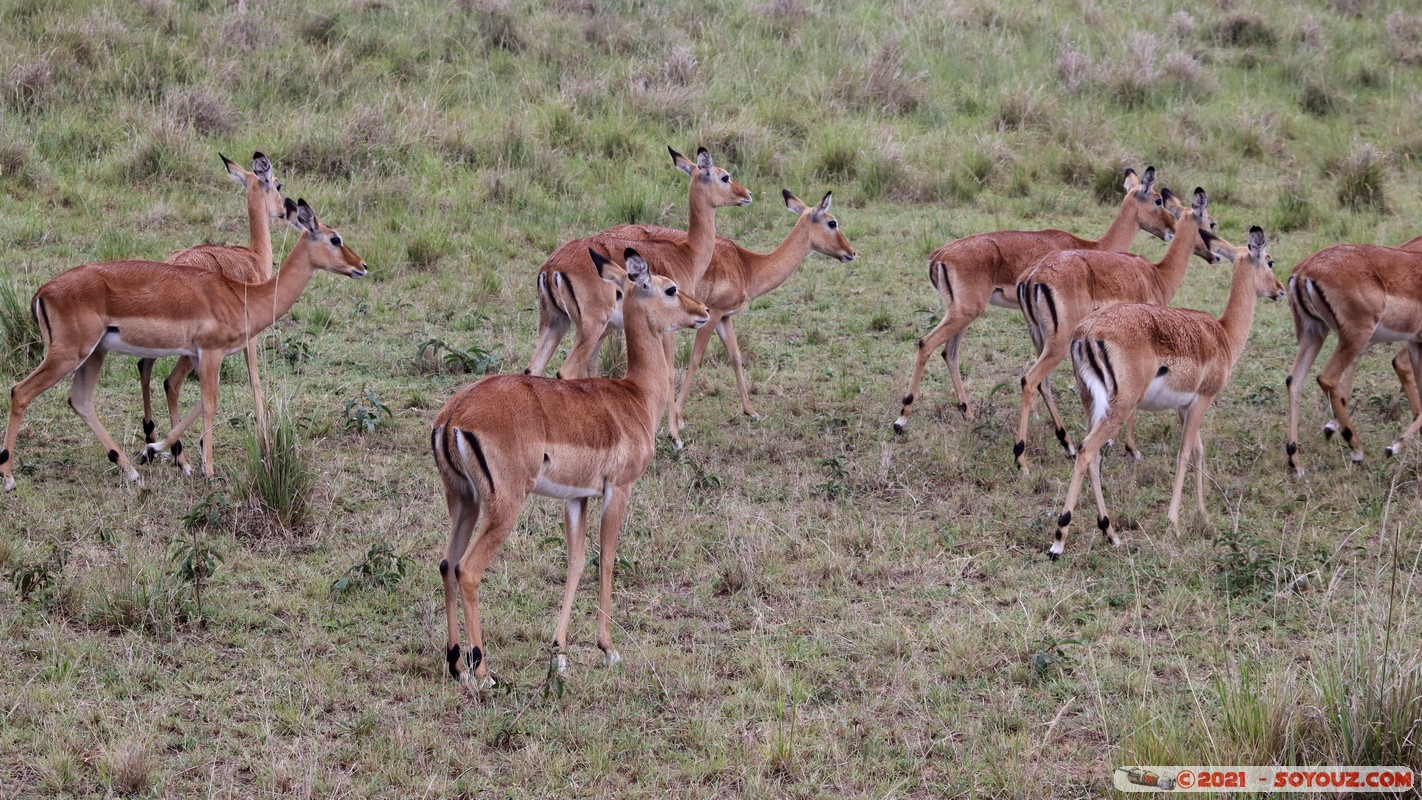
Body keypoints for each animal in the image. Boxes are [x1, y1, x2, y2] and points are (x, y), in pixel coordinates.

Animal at [426, 248, 705, 687]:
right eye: (670, 288)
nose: (703, 311)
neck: (636, 396)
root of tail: (453, 415)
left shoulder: (576, 499)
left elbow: (575, 563)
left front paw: (559, 653)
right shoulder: (617, 490)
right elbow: (606, 558)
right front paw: (608, 650)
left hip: (464, 501)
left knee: (446, 563)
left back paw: (456, 664)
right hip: (505, 506)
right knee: (467, 570)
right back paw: (483, 671)